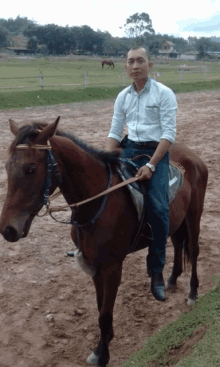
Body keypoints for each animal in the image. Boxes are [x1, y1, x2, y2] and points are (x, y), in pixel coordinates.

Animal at [0, 118, 208, 367]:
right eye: (7, 167)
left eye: (31, 169)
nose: (8, 229)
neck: (98, 200)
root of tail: (192, 157)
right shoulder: (95, 265)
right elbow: (101, 310)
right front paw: (100, 348)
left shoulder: (112, 267)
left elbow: (105, 315)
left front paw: (103, 356)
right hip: (176, 222)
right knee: (177, 245)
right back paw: (172, 280)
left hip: (193, 216)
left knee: (193, 252)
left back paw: (192, 293)